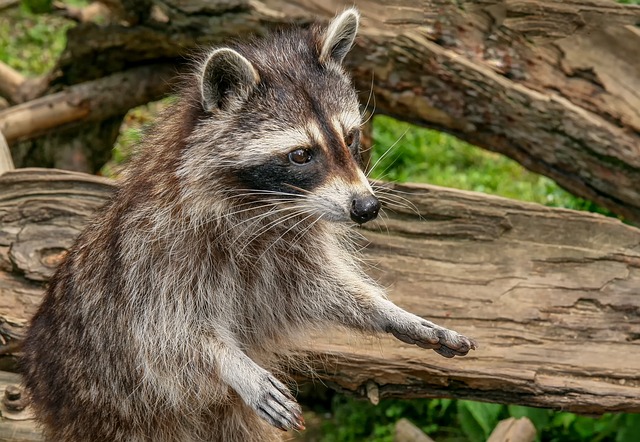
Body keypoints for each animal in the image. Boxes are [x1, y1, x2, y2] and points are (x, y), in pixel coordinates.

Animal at [21, 8, 476, 442]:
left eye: (350, 138)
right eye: (300, 154)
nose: (366, 208)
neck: (264, 208)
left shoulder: (287, 257)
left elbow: (321, 291)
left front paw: (386, 310)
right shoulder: (155, 258)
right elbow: (168, 336)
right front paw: (230, 362)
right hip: (104, 413)